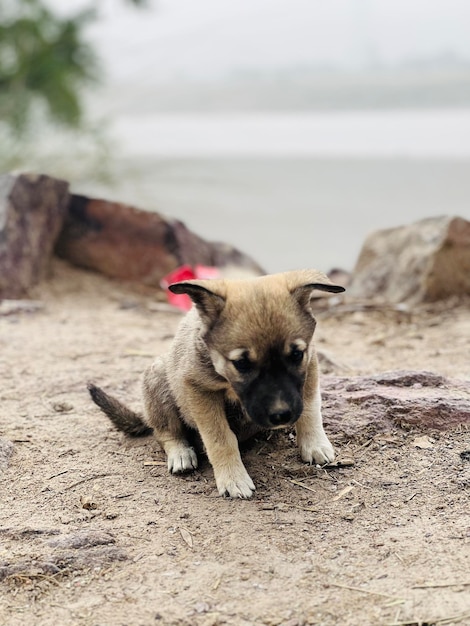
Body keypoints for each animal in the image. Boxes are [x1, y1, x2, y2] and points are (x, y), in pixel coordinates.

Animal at [89, 268, 346, 498]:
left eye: (296, 355)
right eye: (241, 363)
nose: (281, 415)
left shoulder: (310, 365)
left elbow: (310, 409)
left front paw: (314, 444)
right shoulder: (199, 391)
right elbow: (220, 438)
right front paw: (233, 478)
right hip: (158, 380)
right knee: (164, 432)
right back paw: (181, 453)